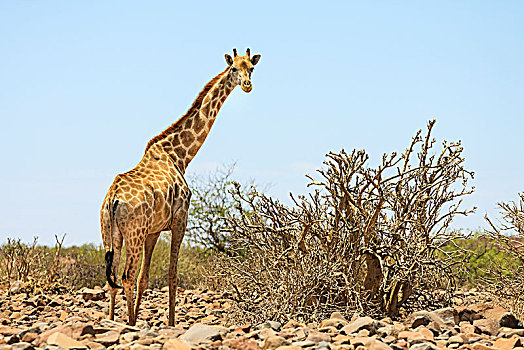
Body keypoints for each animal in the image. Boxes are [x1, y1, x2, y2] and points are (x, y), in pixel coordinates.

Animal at [99, 48, 260, 326]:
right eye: (233, 69)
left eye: (251, 68)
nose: (247, 85)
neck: (180, 156)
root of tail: (112, 200)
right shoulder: (179, 220)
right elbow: (172, 276)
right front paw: (171, 323)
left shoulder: (153, 230)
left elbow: (145, 278)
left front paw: (141, 318)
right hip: (133, 233)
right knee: (126, 276)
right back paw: (128, 324)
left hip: (110, 234)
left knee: (113, 278)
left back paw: (113, 321)